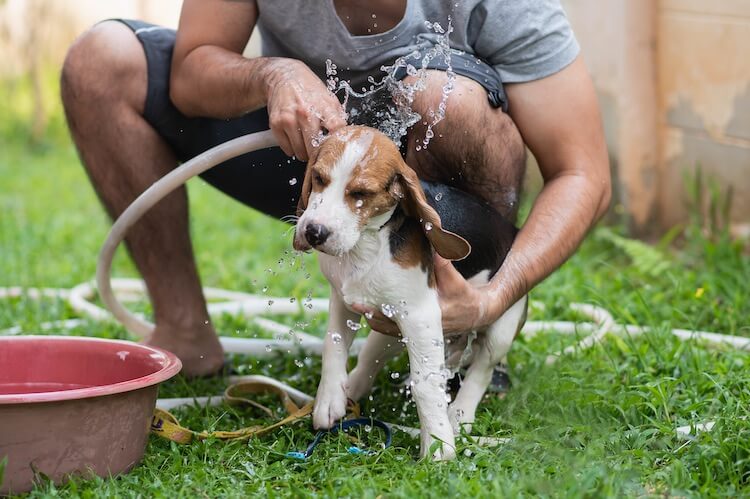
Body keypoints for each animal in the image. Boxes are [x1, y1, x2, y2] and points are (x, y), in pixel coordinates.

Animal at [294, 126, 528, 460]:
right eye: (318, 178)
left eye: (361, 194)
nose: (314, 232)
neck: (368, 243)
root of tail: (514, 232)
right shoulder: (343, 299)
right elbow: (333, 347)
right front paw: (329, 400)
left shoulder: (420, 316)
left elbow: (426, 385)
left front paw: (438, 445)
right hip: (389, 328)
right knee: (370, 355)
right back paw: (353, 389)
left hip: (502, 323)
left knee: (481, 369)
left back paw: (460, 416)